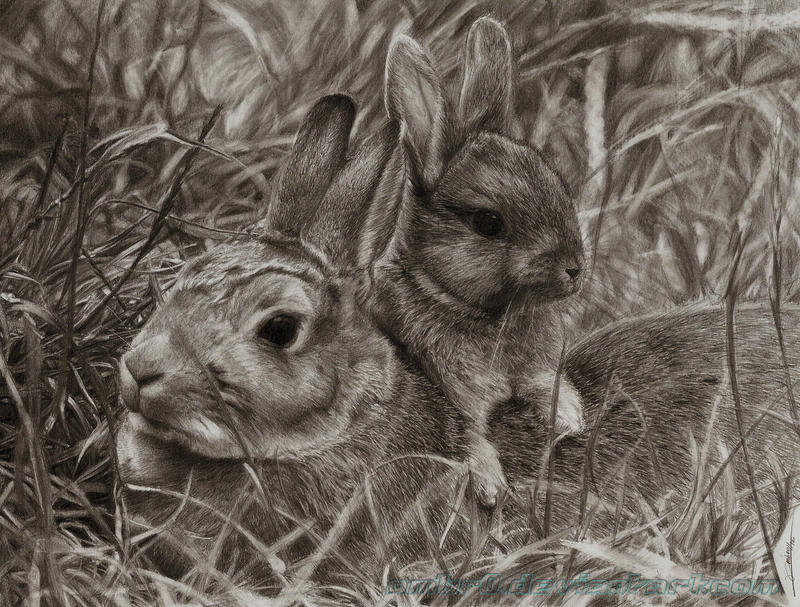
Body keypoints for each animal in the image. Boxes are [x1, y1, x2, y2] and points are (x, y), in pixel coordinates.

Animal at [356, 17, 586, 509]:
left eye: (560, 187)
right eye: (488, 222)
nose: (575, 268)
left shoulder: (534, 370)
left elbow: (545, 383)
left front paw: (571, 416)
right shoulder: (450, 391)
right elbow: (469, 436)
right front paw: (489, 485)